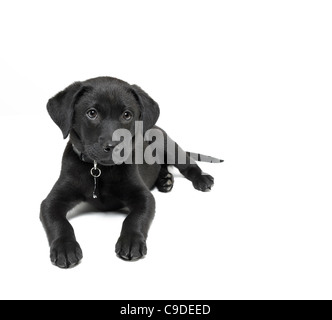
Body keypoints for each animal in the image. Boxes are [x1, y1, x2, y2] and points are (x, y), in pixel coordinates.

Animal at [41, 77, 222, 268]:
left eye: (127, 115)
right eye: (92, 113)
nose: (113, 146)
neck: (100, 170)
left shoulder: (144, 196)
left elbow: (134, 218)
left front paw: (131, 241)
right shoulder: (51, 201)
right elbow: (59, 222)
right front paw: (65, 247)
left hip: (169, 145)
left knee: (188, 165)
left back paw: (201, 178)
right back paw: (165, 180)